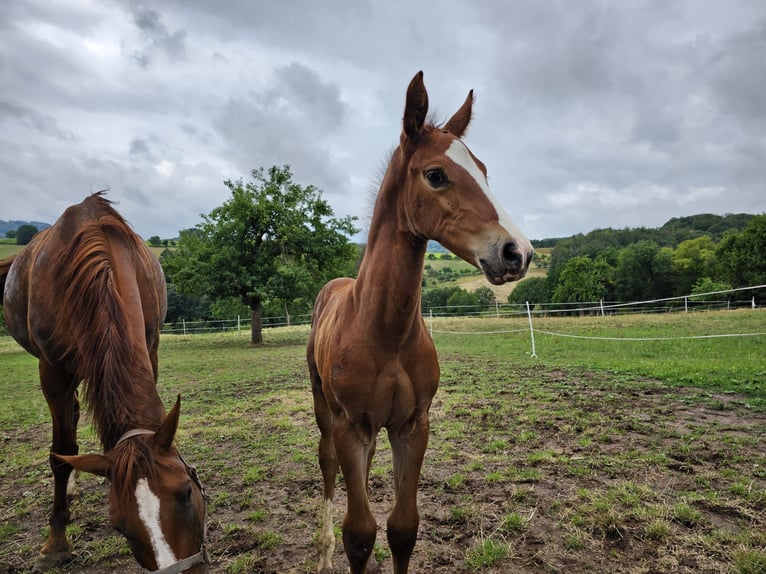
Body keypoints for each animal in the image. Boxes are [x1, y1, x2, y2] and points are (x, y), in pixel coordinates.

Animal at [0, 195, 208, 574]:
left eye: (187, 491)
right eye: (119, 525)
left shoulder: (150, 347)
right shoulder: (52, 370)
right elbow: (59, 453)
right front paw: (55, 545)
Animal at [306, 73, 536, 574]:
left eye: (484, 170)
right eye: (436, 175)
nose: (518, 252)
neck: (385, 333)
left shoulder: (413, 425)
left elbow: (402, 528)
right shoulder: (350, 426)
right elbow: (360, 534)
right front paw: (343, 544)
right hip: (324, 410)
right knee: (327, 464)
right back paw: (322, 549)